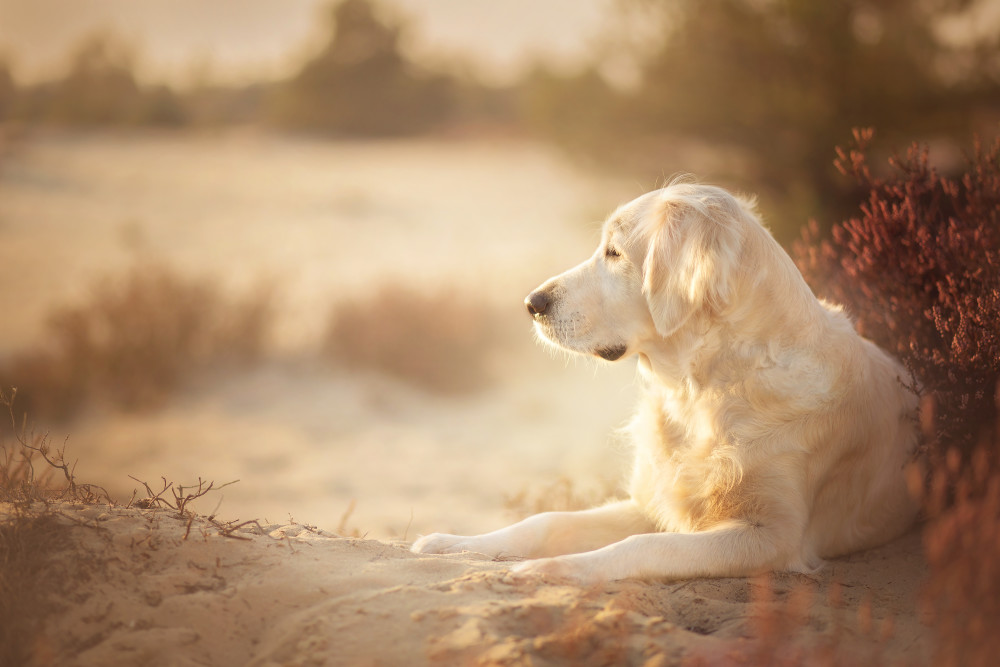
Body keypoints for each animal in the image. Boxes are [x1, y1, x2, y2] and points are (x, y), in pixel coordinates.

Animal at [410, 183, 916, 584]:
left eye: (614, 253)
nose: (531, 304)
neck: (700, 392)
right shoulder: (654, 501)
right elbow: (548, 520)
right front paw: (455, 542)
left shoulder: (773, 535)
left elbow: (645, 545)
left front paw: (558, 569)